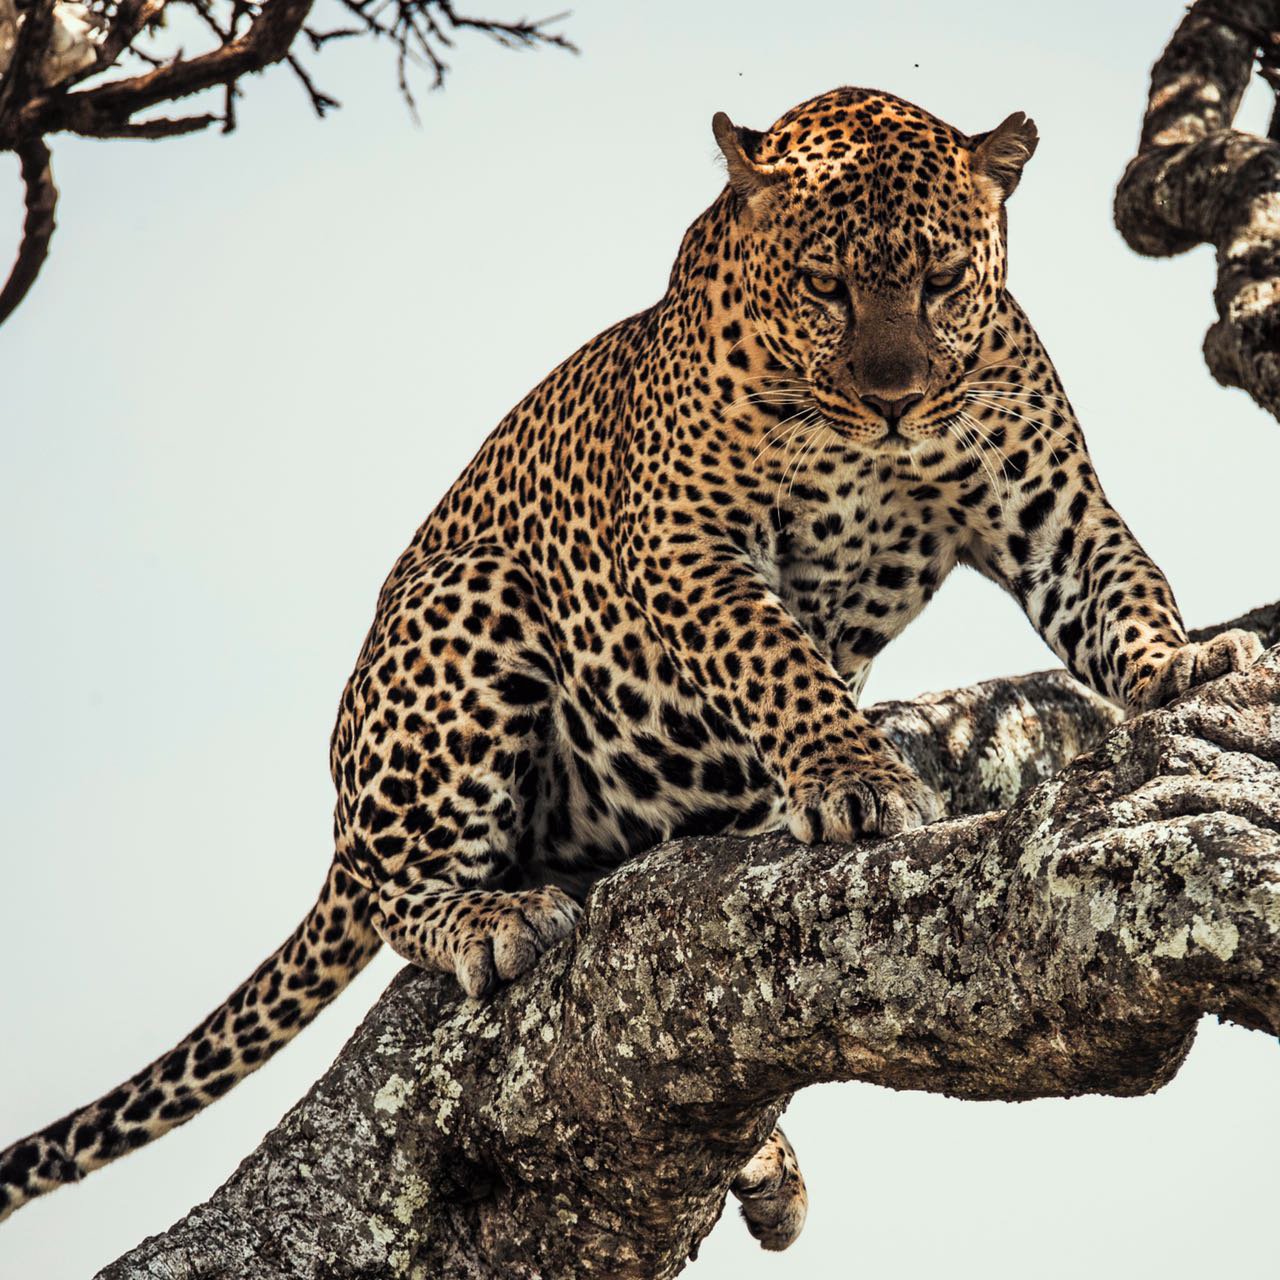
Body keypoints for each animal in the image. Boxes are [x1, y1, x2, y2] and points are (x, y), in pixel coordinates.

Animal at [1, 87, 1261, 1253]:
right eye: (825, 285)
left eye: (943, 279)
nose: (895, 398)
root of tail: (340, 817)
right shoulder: (683, 541)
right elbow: (777, 661)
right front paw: (852, 777)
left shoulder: (1048, 508)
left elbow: (1122, 584)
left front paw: (1180, 663)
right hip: (467, 605)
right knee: (404, 891)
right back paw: (490, 918)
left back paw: (761, 1152)